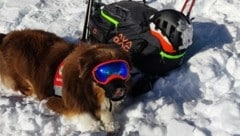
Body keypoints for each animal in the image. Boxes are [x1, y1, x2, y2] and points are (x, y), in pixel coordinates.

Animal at [0, 29, 131, 132]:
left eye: (122, 71)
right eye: (105, 73)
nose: (121, 89)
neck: (87, 89)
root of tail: (6, 37)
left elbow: (104, 111)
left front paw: (111, 123)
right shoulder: (54, 99)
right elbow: (79, 110)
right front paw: (93, 125)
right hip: (22, 62)